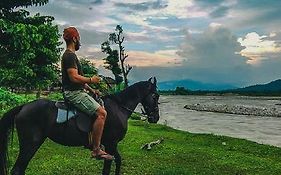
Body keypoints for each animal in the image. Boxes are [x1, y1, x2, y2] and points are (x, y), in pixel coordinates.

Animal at [0, 78, 160, 175]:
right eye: (155, 96)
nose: (156, 118)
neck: (119, 108)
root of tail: (23, 107)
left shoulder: (109, 146)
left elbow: (112, 164)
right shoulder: (111, 144)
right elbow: (114, 164)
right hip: (30, 144)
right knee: (18, 169)